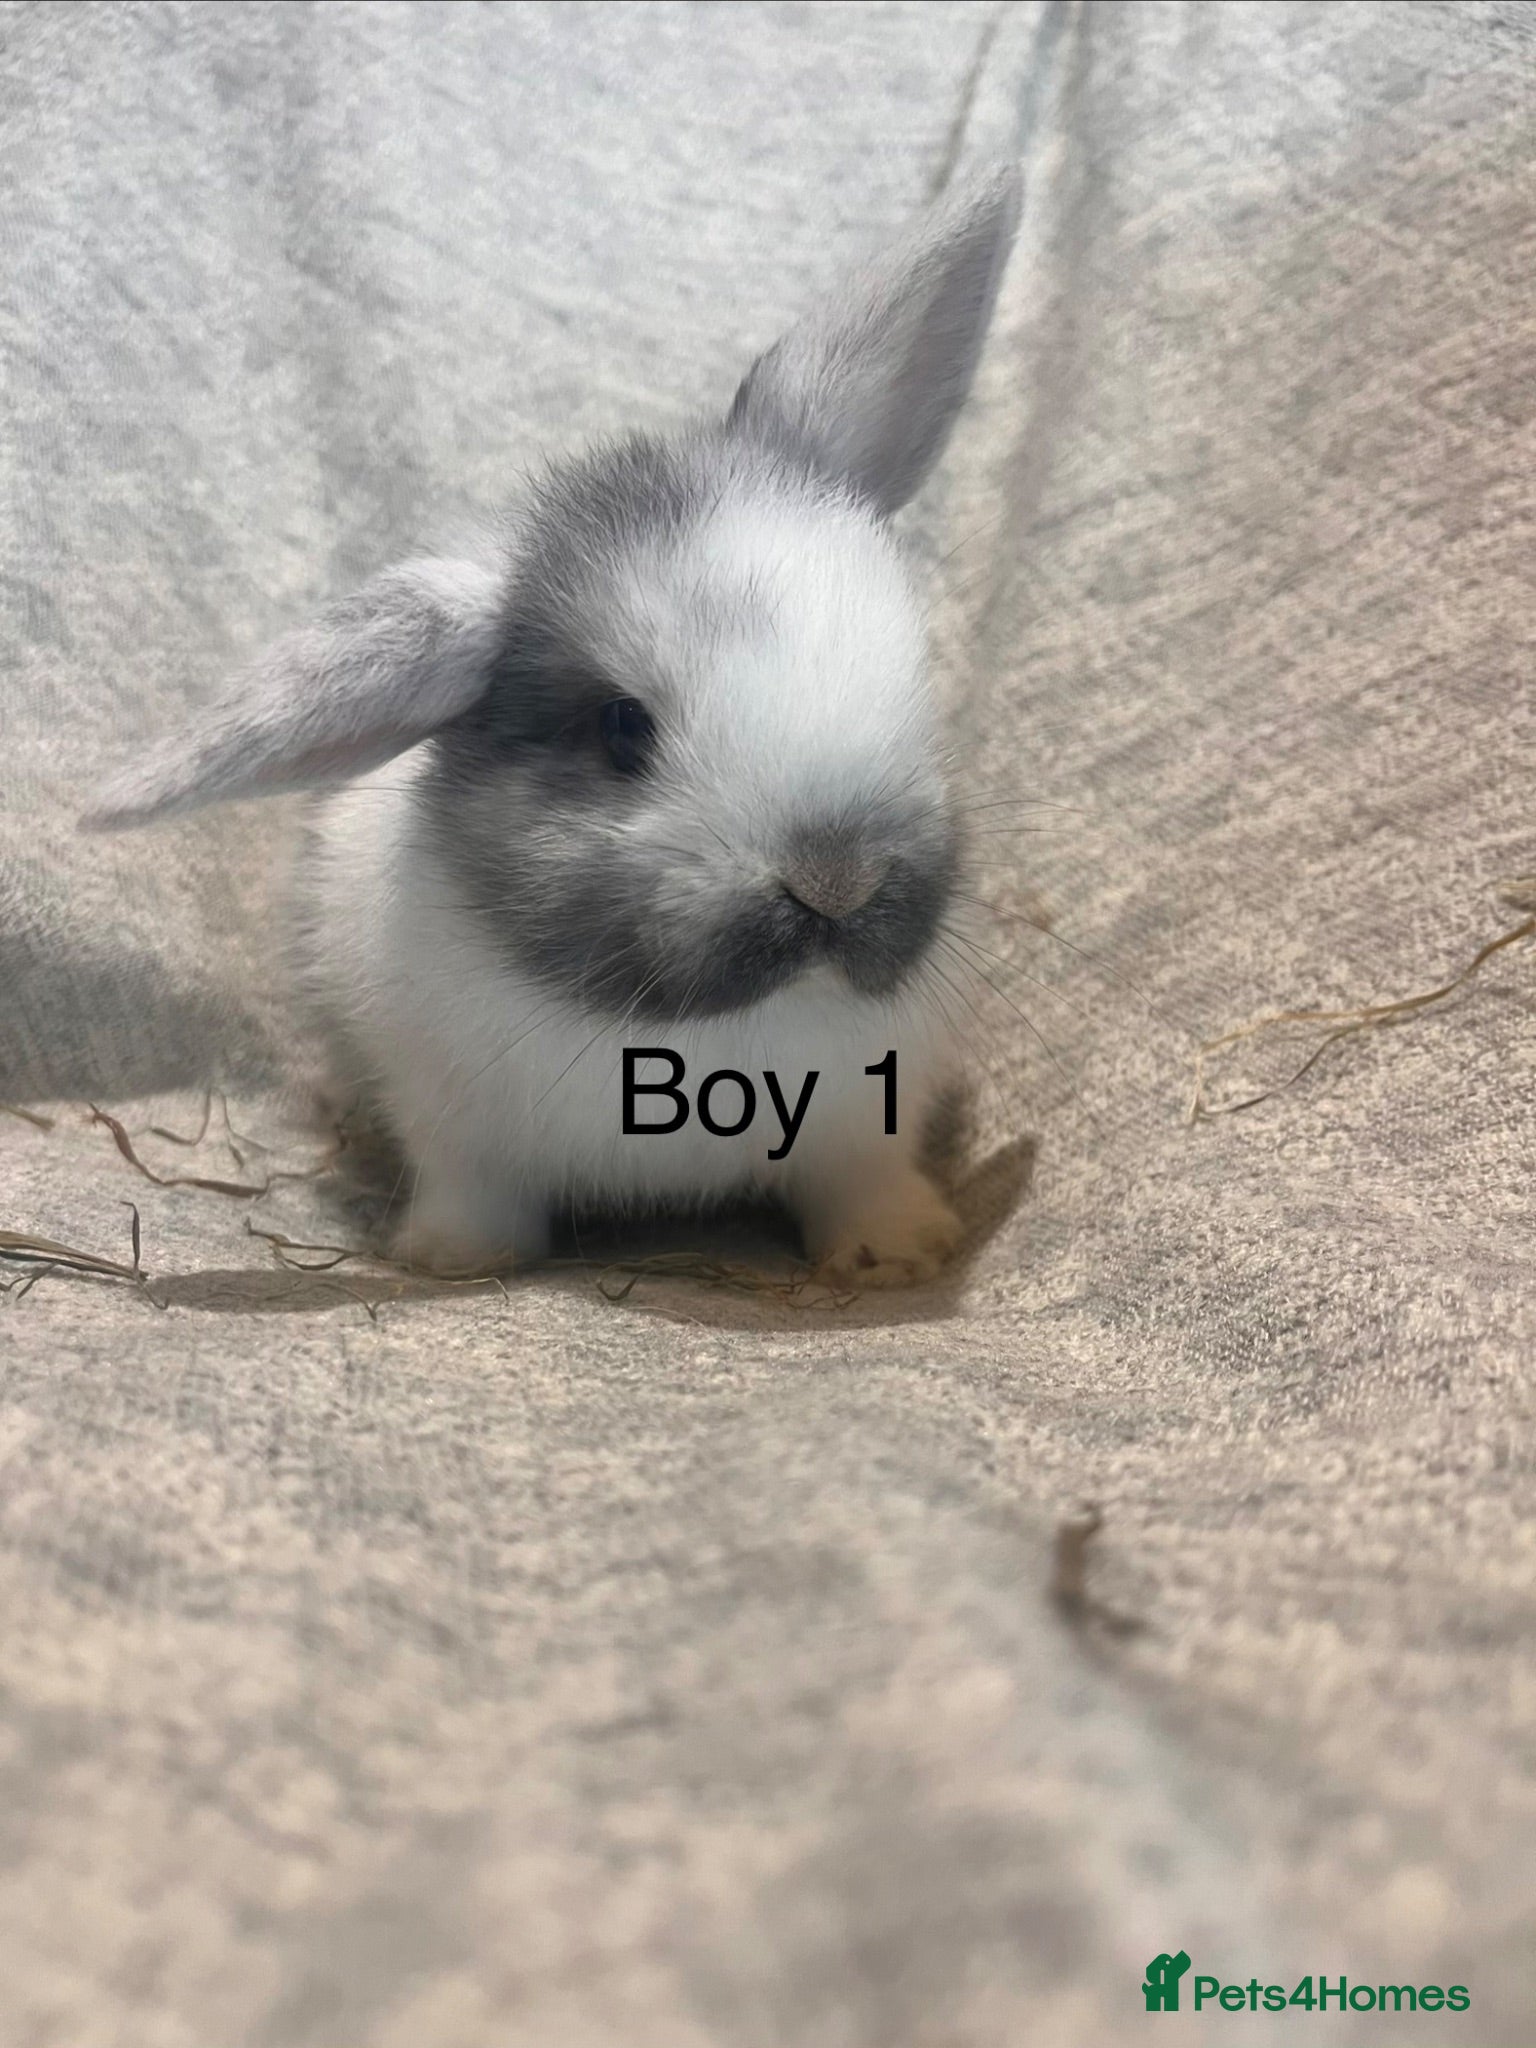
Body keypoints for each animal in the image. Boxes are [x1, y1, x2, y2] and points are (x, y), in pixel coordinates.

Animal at [83, 166, 1022, 1286]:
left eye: (911, 669)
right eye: (622, 729)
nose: (838, 880)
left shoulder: (866, 1125)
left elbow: (859, 1179)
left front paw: (900, 1254)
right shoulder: (450, 1124)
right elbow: (474, 1193)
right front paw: (453, 1259)